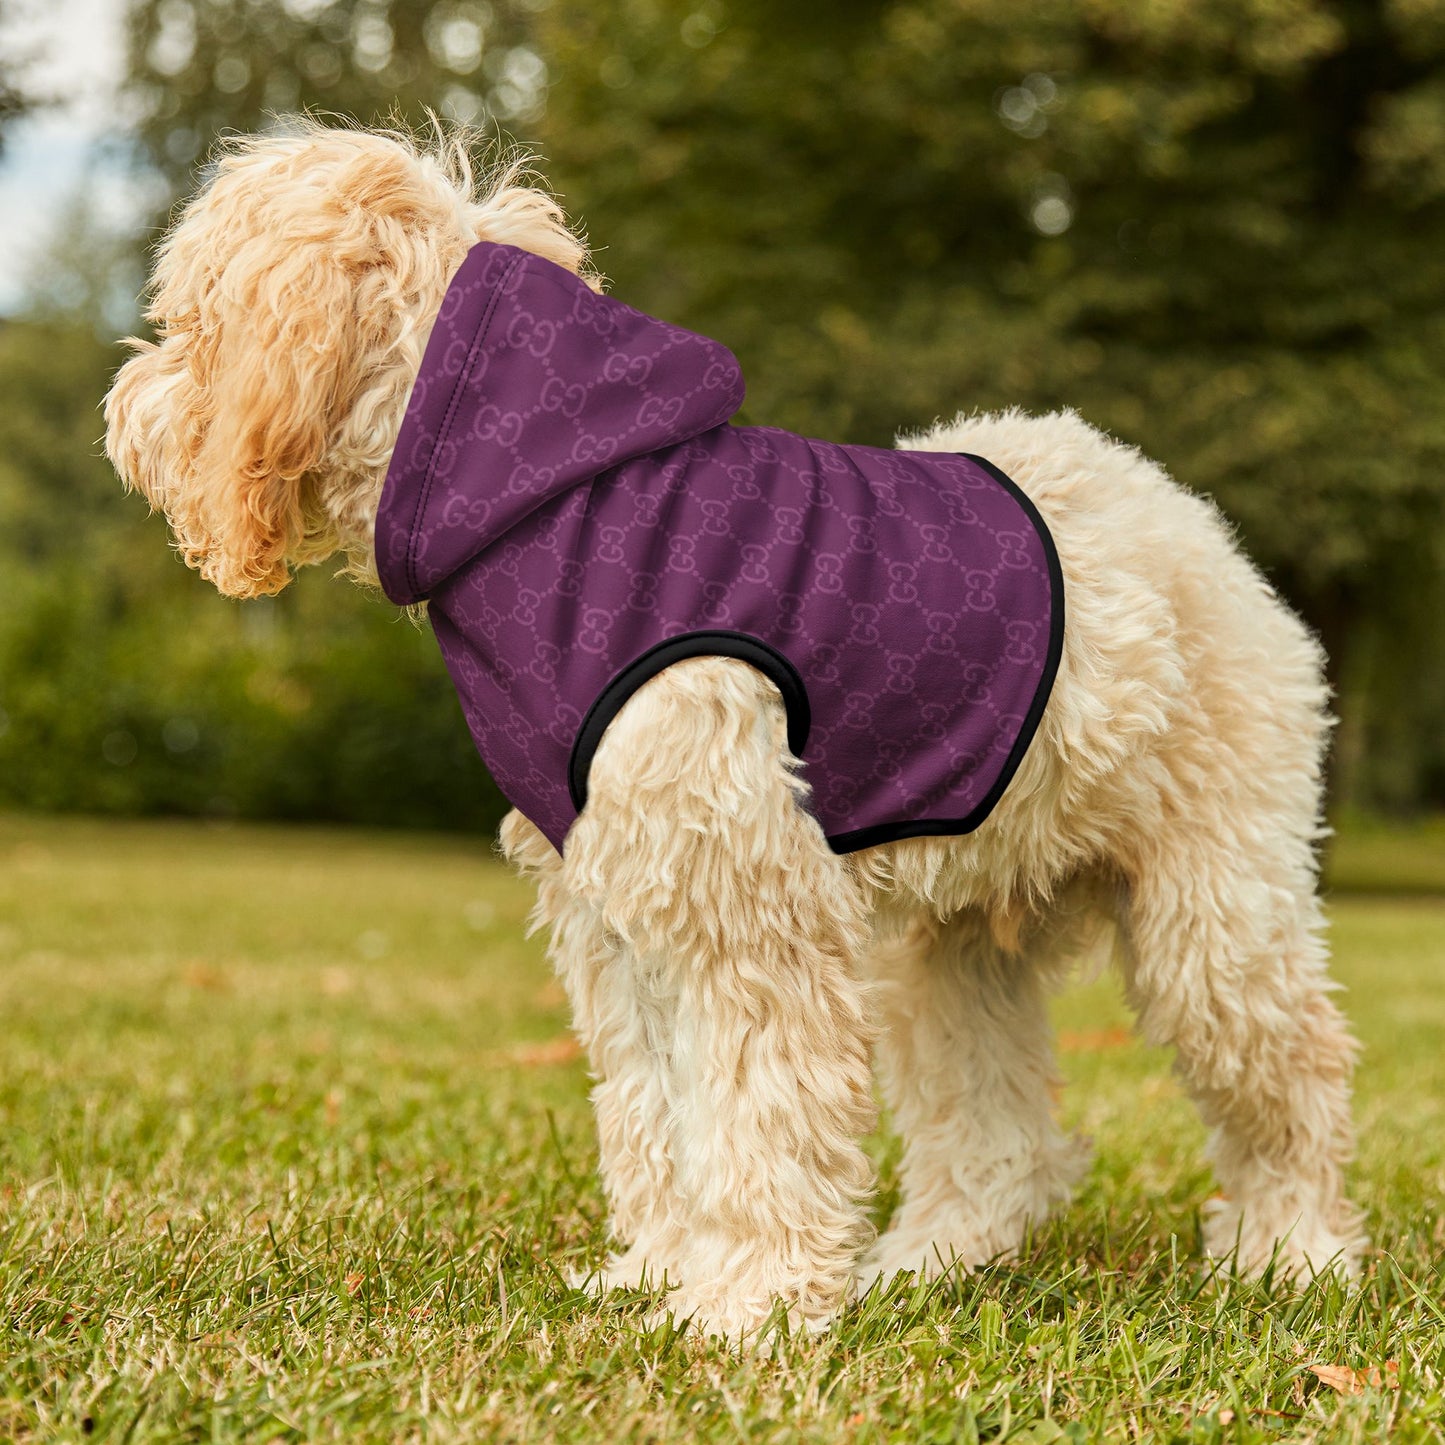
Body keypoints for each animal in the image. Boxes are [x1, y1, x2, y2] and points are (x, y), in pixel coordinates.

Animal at [104, 124, 1364, 1340]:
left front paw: (747, 1305)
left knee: (1293, 1077)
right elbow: (656, 1111)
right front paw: (662, 1273)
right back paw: (929, 1260)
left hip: (1212, 916)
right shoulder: (619, 912)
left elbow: (758, 1113)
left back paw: (1290, 1252)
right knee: (996, 1134)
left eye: (189, 318)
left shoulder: (743, 905)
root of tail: (1187, 519)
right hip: (949, 948)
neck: (547, 499)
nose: (123, 409)